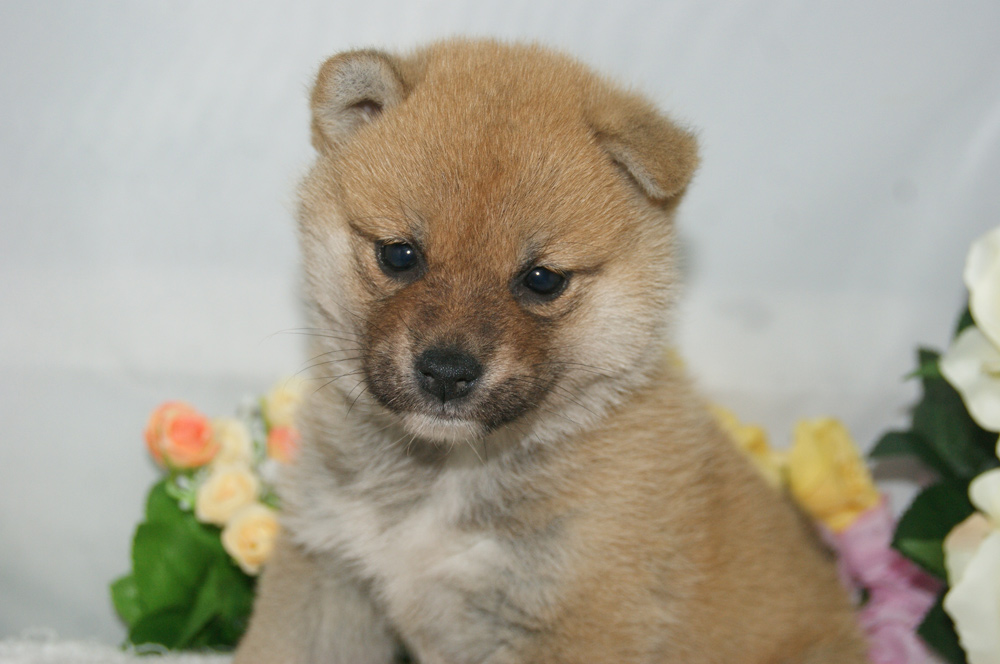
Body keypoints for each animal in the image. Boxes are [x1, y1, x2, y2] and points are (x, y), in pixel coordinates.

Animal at [234, 37, 868, 664]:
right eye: (398, 254)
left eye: (541, 280)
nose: (446, 372)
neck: (448, 475)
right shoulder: (328, 569)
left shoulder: (568, 625)